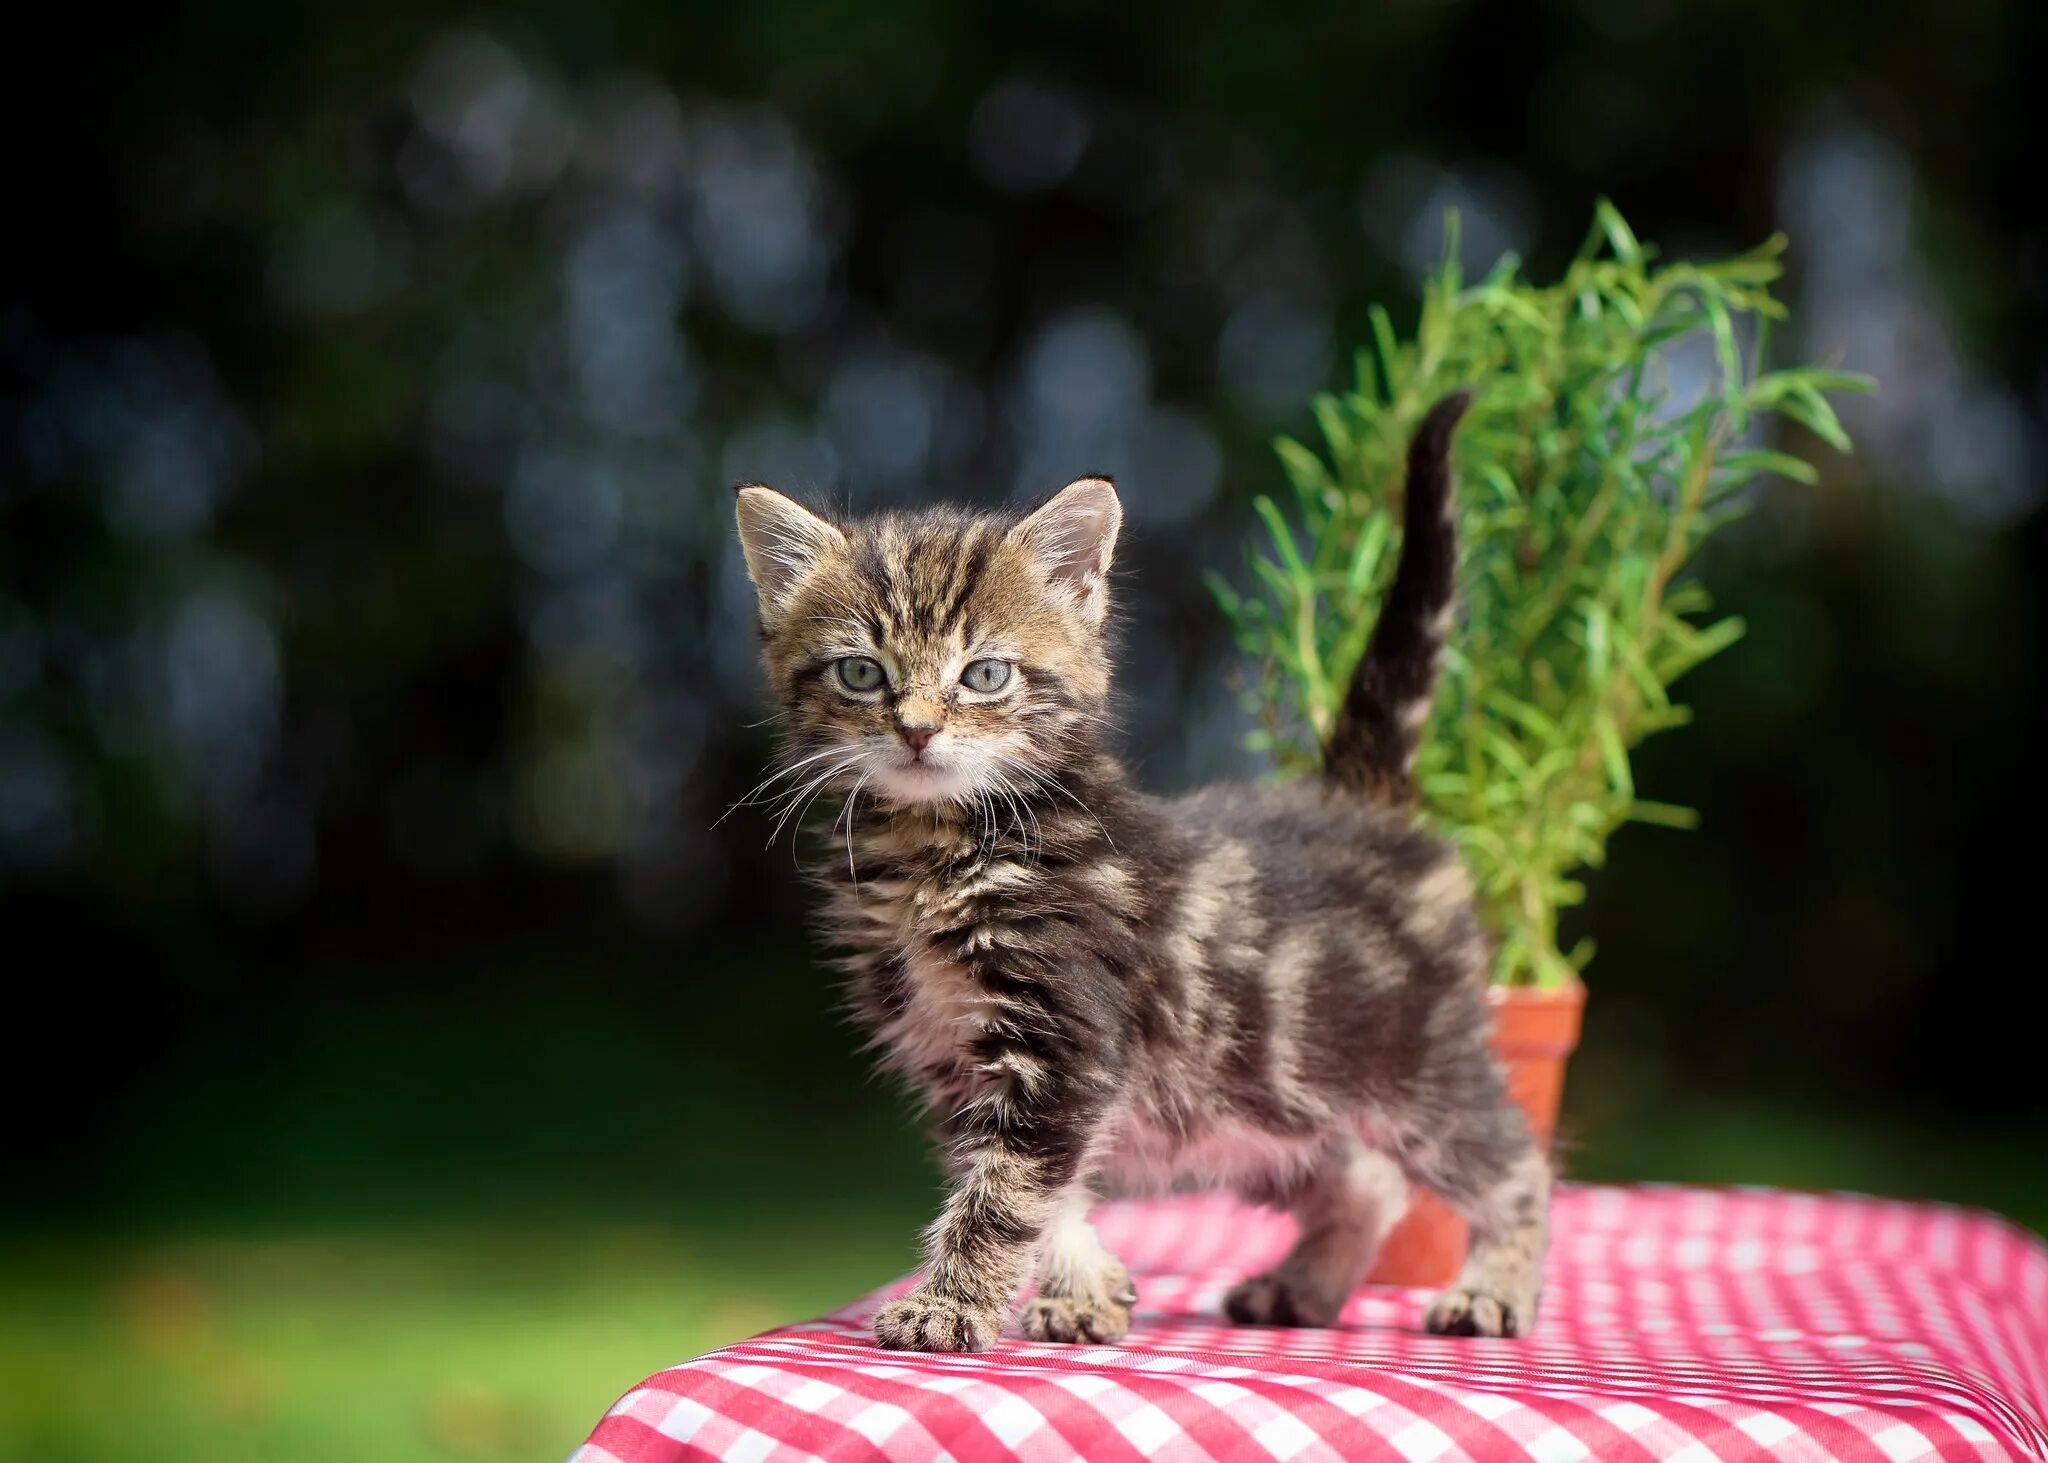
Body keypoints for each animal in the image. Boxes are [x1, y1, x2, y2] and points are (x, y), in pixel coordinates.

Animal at [729, 393, 1540, 1352]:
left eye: (985, 674)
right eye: (861, 672)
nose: (917, 731)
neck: (942, 848)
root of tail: (1353, 800)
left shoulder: (1065, 1037)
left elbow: (1006, 1190)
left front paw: (947, 1306)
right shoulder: (957, 1056)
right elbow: (1028, 1183)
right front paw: (1082, 1284)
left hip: (1415, 1065)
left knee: (1509, 1158)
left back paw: (1496, 1284)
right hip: (1254, 1103)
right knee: (1364, 1178)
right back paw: (1303, 1284)